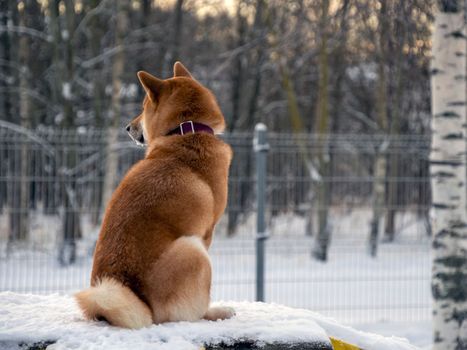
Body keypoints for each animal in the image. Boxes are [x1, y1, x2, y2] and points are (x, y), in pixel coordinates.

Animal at [77, 62, 238, 328]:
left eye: (143, 107)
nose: (127, 127)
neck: (185, 131)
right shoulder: (207, 233)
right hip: (194, 250)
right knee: (188, 314)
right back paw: (217, 312)